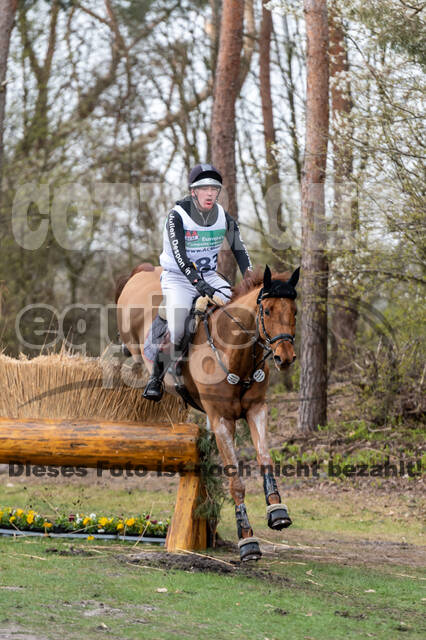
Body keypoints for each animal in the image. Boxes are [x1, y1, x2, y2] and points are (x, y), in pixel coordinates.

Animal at [115, 262, 298, 560]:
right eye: (268, 310)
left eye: (294, 312)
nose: (285, 357)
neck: (234, 353)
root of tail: (143, 271)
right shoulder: (221, 419)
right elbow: (235, 481)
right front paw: (247, 540)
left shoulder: (256, 410)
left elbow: (265, 458)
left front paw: (277, 511)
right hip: (134, 340)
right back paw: (152, 385)